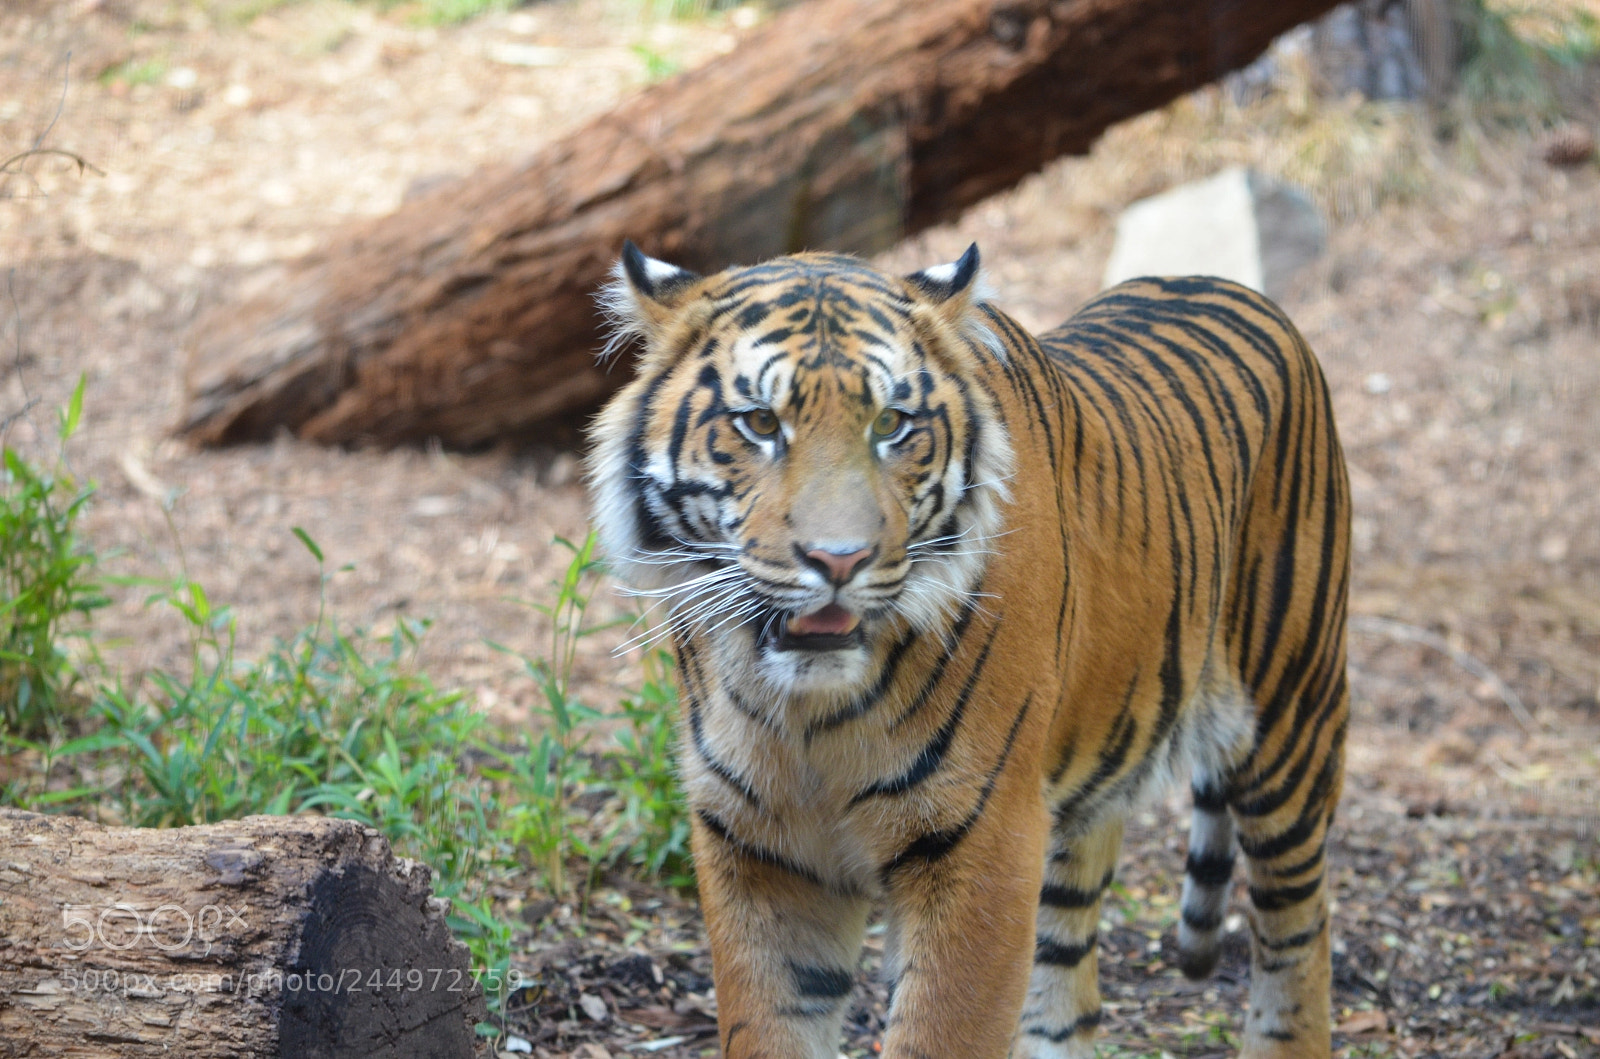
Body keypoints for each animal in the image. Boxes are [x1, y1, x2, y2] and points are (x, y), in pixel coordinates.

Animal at [587, 240, 1350, 1059]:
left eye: (892, 424)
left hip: (1292, 725)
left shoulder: (980, 841)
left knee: (1300, 930)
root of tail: (1222, 283)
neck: (808, 711)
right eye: (760, 422)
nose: (838, 560)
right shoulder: (757, 848)